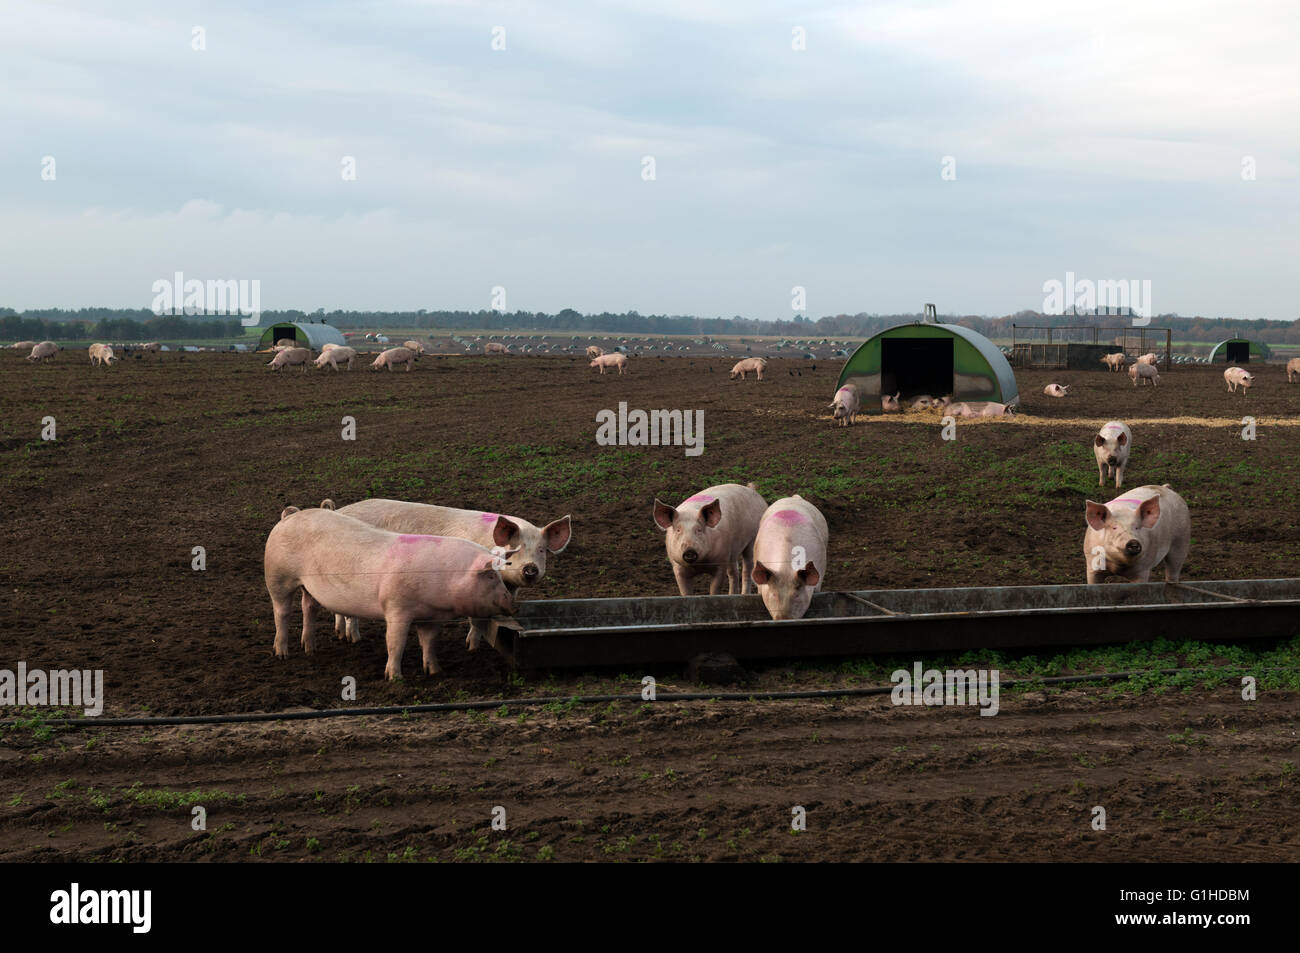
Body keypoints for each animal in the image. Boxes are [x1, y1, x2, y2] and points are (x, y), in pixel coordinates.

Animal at [265, 504, 517, 676]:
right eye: (491, 576)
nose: (513, 603)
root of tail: (290, 516)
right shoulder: (396, 607)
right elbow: (396, 642)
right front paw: (395, 677)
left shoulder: (430, 617)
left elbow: (430, 642)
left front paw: (435, 671)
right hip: (277, 577)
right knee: (281, 612)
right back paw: (282, 654)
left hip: (308, 587)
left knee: (309, 608)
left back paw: (310, 650)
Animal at [330, 499, 569, 647]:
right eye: (516, 548)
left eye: (541, 550)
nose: (530, 568)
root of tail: (339, 511)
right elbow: (476, 620)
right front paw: (471, 647)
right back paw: (354, 639)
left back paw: (341, 635)